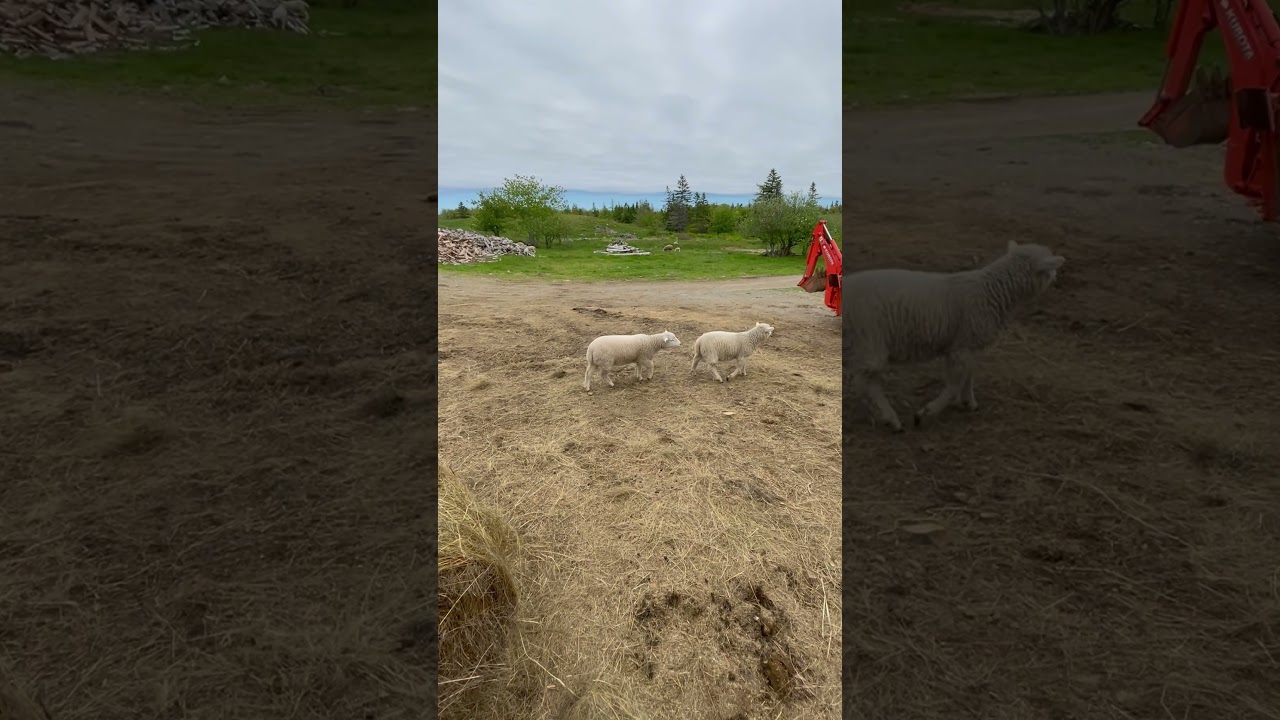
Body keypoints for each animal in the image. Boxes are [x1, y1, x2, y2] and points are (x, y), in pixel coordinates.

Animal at [847, 240, 1065, 433]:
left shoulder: (966, 343)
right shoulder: (961, 347)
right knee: (865, 383)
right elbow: (955, 383)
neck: (990, 292)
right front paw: (926, 413)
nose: (1056, 278)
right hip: (870, 338)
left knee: (864, 381)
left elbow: (969, 374)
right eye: (1050, 268)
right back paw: (890, 419)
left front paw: (969, 402)